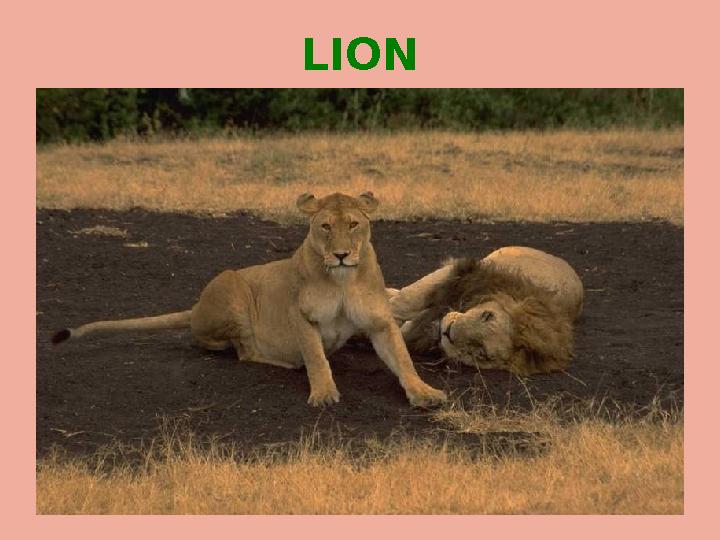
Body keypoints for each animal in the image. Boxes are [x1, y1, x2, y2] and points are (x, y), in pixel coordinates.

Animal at [52, 192, 447, 408]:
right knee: (242, 350)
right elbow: (316, 357)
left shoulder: (379, 321)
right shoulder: (299, 314)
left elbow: (402, 359)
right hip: (232, 286)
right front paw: (323, 393)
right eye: (325, 227)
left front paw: (424, 392)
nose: (340, 254)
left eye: (353, 224)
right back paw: (284, 362)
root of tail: (195, 308)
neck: (342, 281)